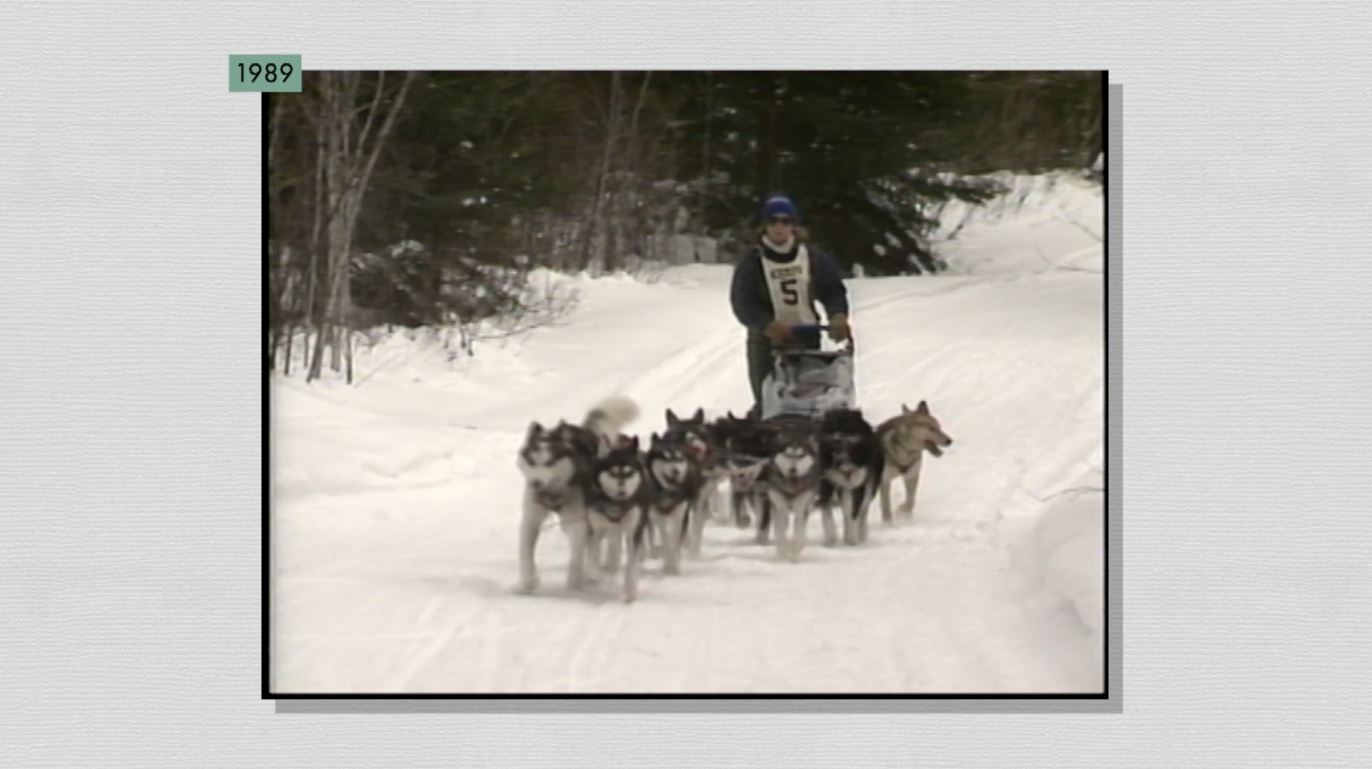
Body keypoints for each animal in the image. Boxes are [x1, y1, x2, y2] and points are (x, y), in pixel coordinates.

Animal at [515, 395, 639, 595]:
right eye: (532, 462)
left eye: (549, 462)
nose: (535, 484)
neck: (556, 490)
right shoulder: (531, 518)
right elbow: (526, 552)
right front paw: (528, 582)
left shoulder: (578, 523)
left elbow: (576, 557)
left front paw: (573, 585)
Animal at [584, 436, 653, 604]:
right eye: (613, 473)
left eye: (629, 472)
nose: (622, 492)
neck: (616, 504)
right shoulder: (596, 530)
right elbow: (592, 561)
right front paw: (599, 576)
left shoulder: (633, 531)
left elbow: (631, 564)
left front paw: (630, 591)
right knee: (613, 548)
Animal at [757, 417, 817, 563]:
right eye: (787, 454)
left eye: (801, 456)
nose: (792, 470)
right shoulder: (778, 505)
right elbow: (780, 532)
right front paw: (783, 552)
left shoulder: (802, 506)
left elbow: (800, 534)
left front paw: (795, 552)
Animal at [817, 409, 883, 546]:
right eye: (832, 428)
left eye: (847, 427)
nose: (837, 439)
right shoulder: (826, 482)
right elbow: (826, 511)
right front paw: (830, 538)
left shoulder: (858, 485)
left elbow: (854, 513)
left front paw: (852, 539)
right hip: (843, 488)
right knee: (845, 510)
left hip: (869, 487)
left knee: (862, 510)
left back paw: (859, 534)